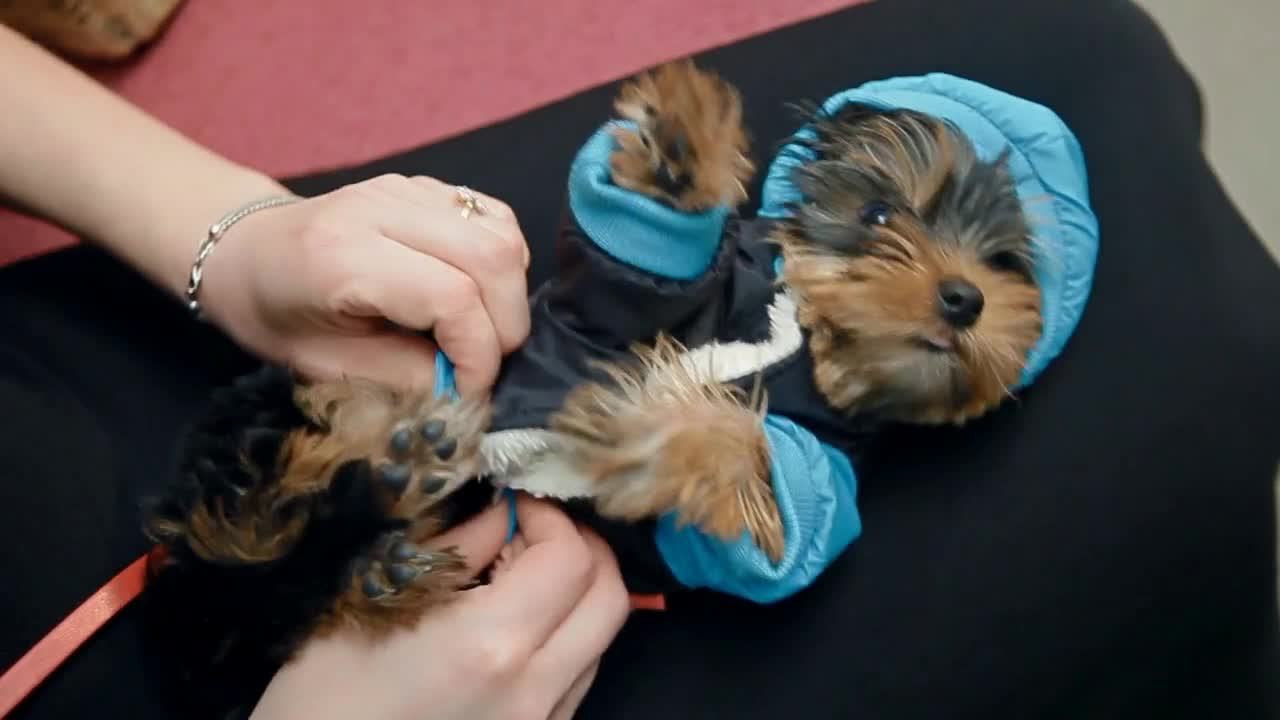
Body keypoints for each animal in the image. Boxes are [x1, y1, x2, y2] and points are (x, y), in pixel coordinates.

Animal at [142, 58, 1049, 712]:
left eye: (1005, 262)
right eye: (880, 218)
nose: (964, 297)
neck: (815, 353)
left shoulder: (823, 473)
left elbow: (761, 524)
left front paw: (648, 436)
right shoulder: (613, 308)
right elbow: (628, 273)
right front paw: (679, 153)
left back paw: (386, 536)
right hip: (264, 427)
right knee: (241, 495)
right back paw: (343, 475)